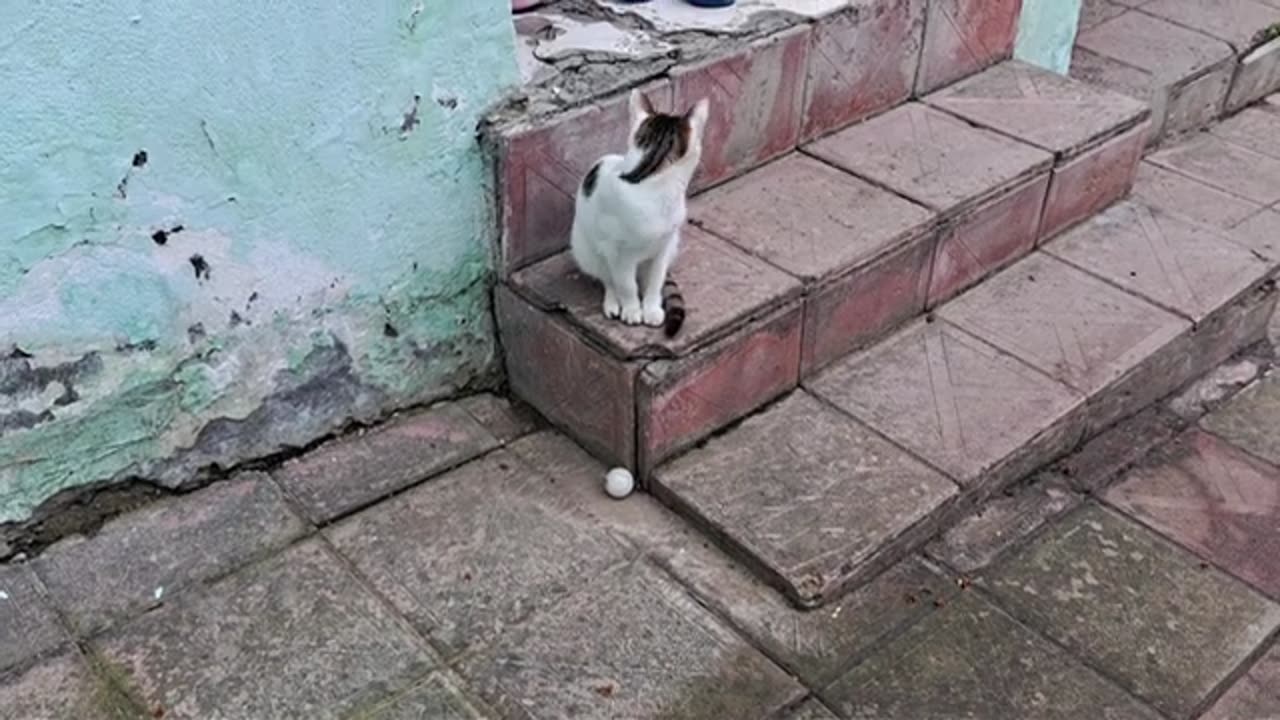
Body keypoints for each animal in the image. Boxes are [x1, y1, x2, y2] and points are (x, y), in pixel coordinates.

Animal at [570, 89, 711, 335]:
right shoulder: (618, 253)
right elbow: (626, 285)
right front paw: (632, 309)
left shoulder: (663, 247)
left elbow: (655, 281)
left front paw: (651, 308)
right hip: (585, 248)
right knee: (607, 278)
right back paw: (613, 303)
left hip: (672, 245)